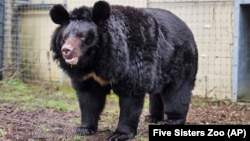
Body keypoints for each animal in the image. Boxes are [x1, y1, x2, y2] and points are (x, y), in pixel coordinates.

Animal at [49, 0, 197, 140]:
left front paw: (120, 134)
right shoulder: (87, 76)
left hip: (180, 60)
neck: (95, 60)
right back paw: (153, 117)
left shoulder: (131, 62)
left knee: (177, 91)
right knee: (157, 93)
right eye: (65, 37)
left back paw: (171, 120)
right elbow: (88, 98)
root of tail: (186, 26)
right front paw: (84, 129)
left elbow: (130, 99)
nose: (66, 50)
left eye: (83, 36)